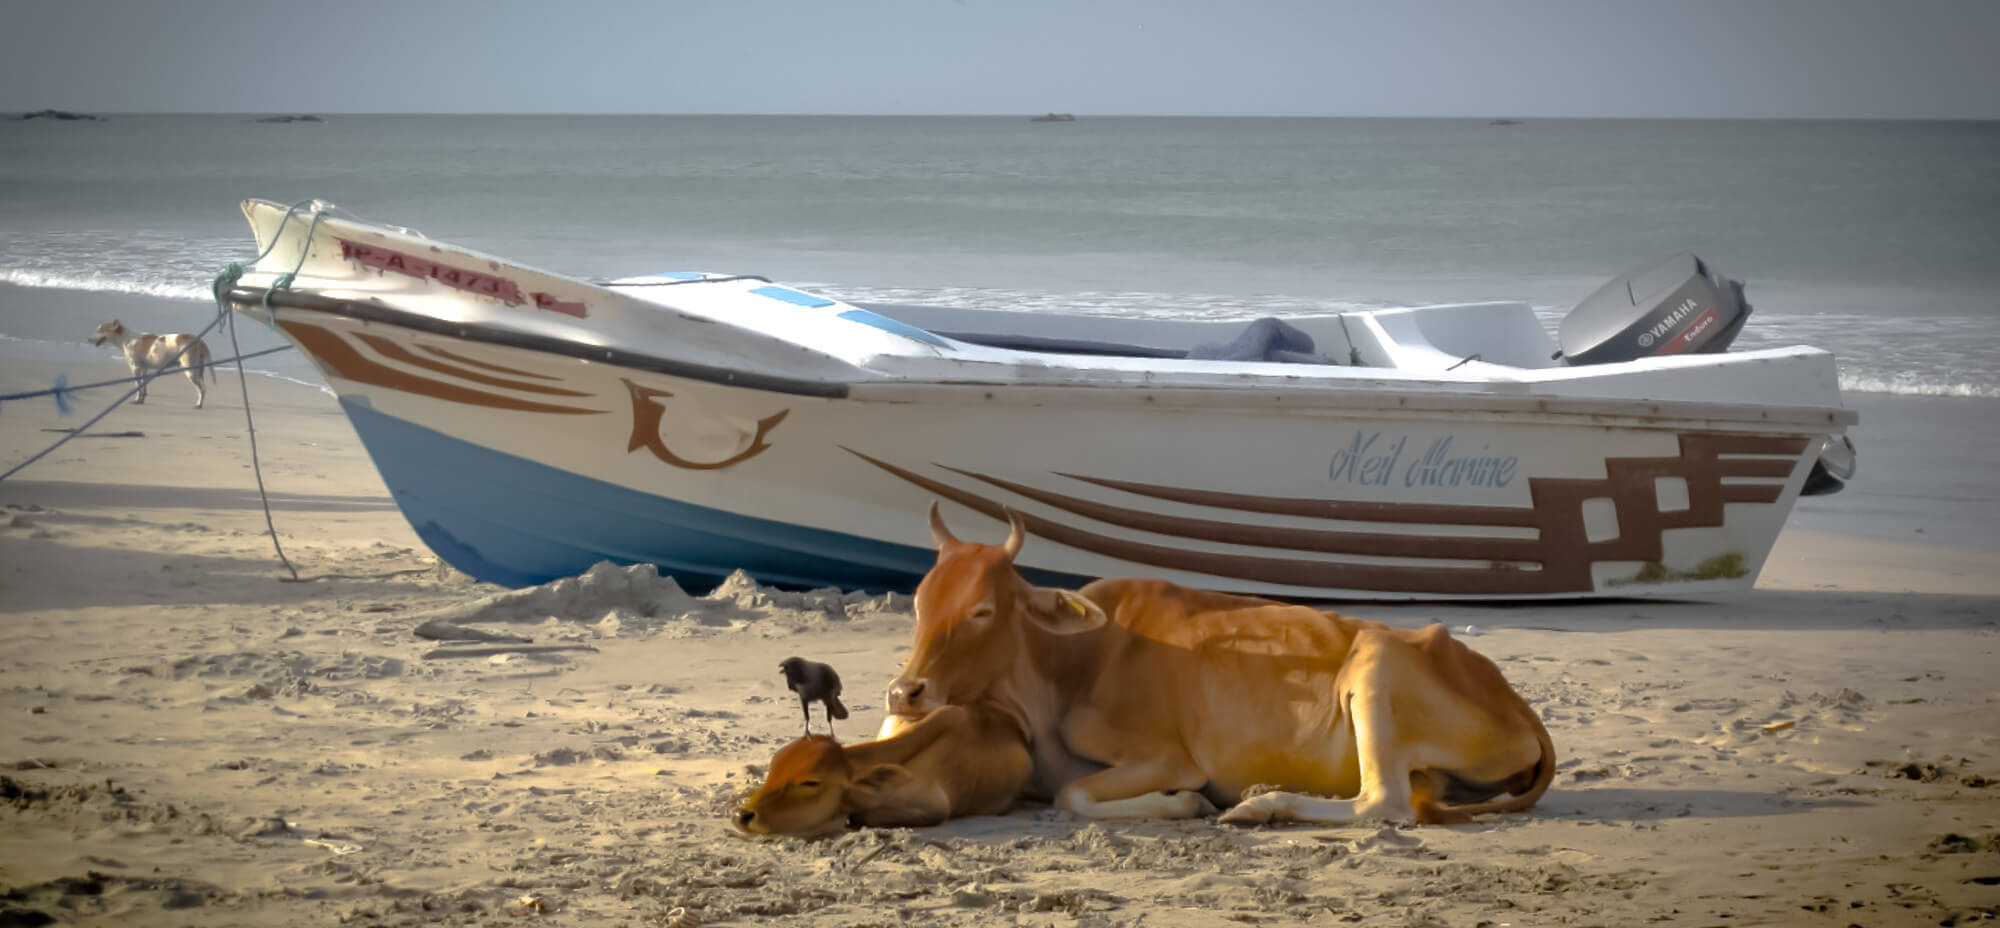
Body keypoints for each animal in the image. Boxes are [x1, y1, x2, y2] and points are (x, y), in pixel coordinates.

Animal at [884, 508, 1552, 828]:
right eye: (918, 601)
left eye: (982, 610)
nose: (903, 692)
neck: (1065, 667)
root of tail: (1514, 701)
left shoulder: (1166, 756)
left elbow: (1073, 794)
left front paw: (1187, 804)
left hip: (1376, 660)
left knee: (1382, 802)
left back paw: (1260, 806)